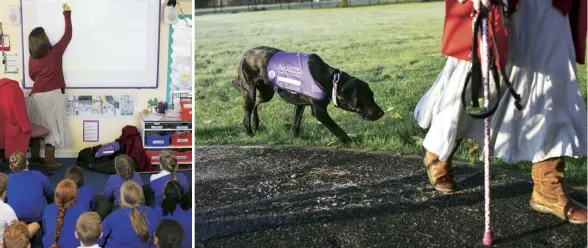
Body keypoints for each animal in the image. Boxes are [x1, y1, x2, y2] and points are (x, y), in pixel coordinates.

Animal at [234, 46, 386, 143]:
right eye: (365, 98)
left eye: (372, 96)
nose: (382, 113)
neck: (330, 80)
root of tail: (245, 54)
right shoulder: (319, 111)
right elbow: (337, 128)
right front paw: (349, 140)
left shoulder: (300, 104)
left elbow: (296, 123)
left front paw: (295, 138)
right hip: (250, 91)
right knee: (247, 110)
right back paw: (249, 132)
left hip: (266, 93)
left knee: (255, 105)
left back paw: (256, 123)